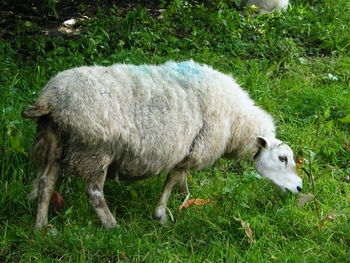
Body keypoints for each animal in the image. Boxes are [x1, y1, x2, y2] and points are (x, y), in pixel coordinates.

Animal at [21, 60, 302, 230]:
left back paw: (41, 227)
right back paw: (111, 225)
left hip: (56, 147)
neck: (237, 122)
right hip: (93, 151)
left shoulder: (189, 148)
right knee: (93, 193)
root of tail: (51, 99)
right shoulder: (191, 149)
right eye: (283, 158)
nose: (299, 187)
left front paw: (185, 197)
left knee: (46, 185)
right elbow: (172, 179)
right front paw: (162, 214)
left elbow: (180, 178)